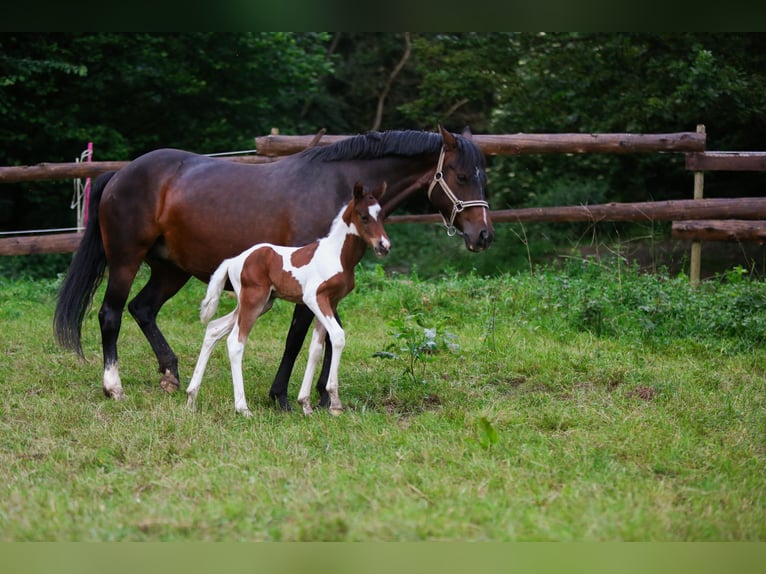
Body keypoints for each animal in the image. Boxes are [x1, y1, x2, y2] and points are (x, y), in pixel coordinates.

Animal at [185, 182, 390, 416]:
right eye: (364, 216)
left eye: (381, 215)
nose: (384, 246)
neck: (337, 255)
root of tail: (234, 260)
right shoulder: (314, 298)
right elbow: (337, 336)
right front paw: (335, 403)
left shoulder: (331, 302)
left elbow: (316, 349)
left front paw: (306, 404)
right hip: (253, 301)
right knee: (235, 341)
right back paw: (242, 408)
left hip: (260, 303)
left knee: (213, 328)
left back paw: (191, 399)